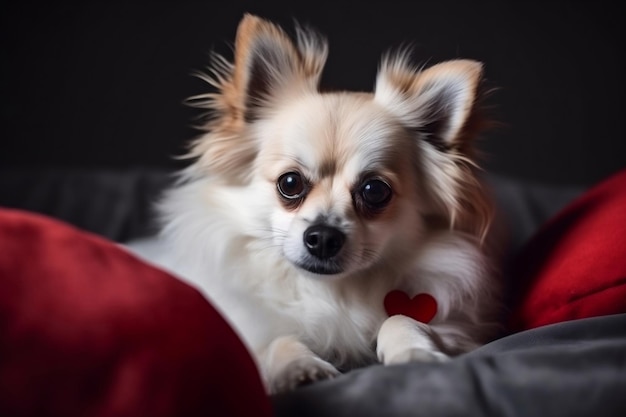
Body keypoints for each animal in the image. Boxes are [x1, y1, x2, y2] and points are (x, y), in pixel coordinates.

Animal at [158, 13, 500, 394]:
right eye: (289, 183)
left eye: (375, 190)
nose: (323, 237)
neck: (334, 291)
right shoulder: (245, 333)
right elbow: (277, 341)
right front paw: (299, 367)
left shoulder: (457, 328)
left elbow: (401, 318)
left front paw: (414, 352)